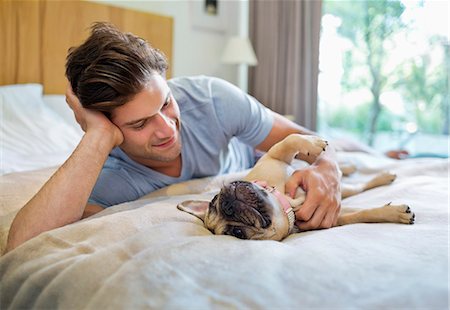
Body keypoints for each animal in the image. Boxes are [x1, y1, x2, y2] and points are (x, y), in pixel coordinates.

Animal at [178, 134, 416, 241]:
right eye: (238, 233)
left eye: (213, 201)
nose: (228, 205)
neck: (288, 204)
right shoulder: (336, 217)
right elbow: (363, 214)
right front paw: (394, 213)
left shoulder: (275, 157)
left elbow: (289, 141)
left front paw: (314, 144)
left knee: (355, 183)